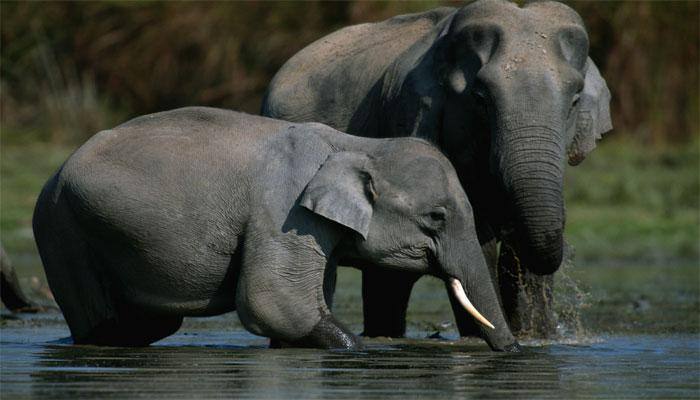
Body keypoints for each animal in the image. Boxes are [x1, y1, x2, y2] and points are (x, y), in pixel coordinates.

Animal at [32, 107, 520, 351]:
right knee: (103, 325)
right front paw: (354, 348)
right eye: (436, 217)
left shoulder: (315, 226)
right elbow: (271, 301)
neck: (356, 144)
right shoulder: (284, 211)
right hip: (61, 230)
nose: (515, 352)